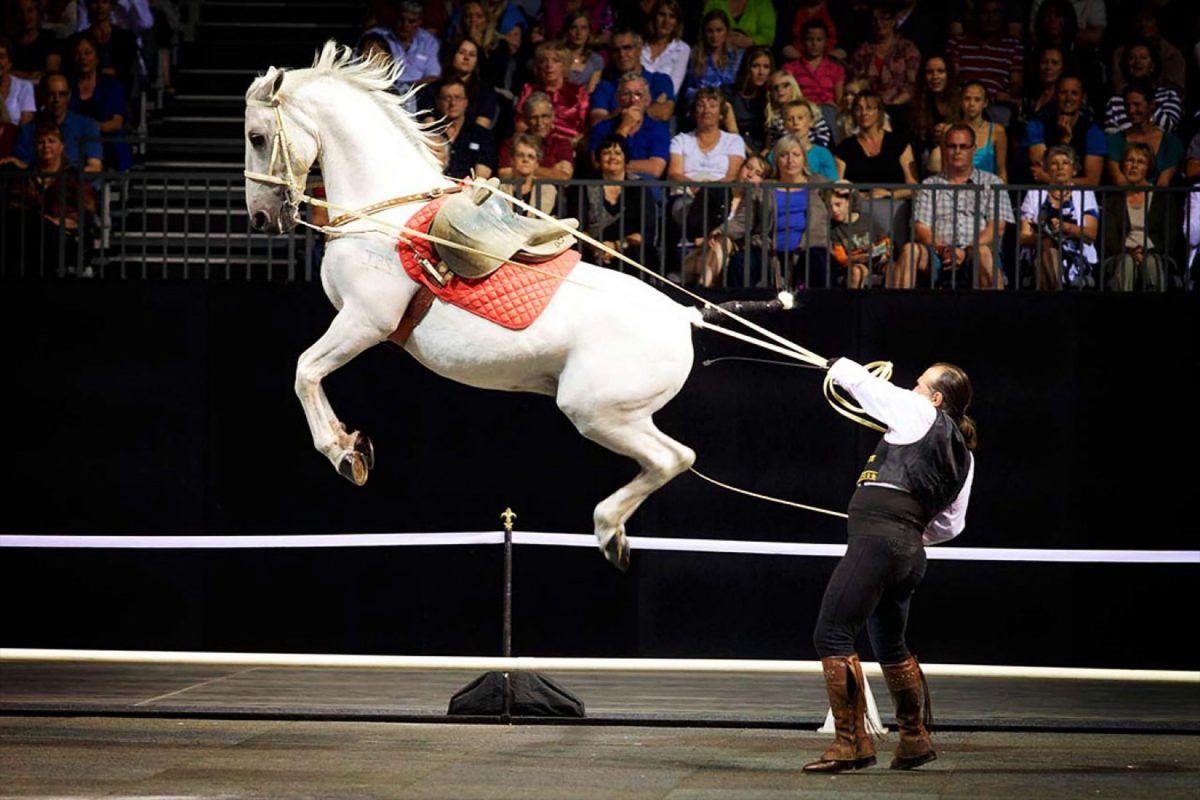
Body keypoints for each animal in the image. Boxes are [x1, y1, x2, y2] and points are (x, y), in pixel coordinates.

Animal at [241, 43, 700, 573]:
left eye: (256, 136)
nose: (261, 217)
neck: (387, 217)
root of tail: (684, 319)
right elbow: (308, 373)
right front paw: (351, 445)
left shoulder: (363, 321)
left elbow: (305, 372)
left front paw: (344, 452)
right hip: (621, 415)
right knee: (672, 459)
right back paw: (617, 534)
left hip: (597, 412)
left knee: (673, 458)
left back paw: (608, 531)